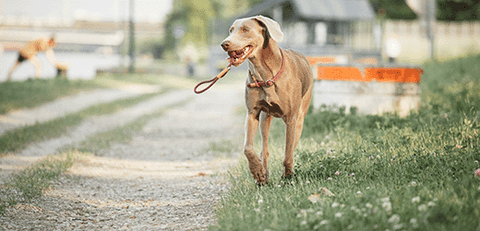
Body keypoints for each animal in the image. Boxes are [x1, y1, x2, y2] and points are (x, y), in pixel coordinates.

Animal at [222, 15, 316, 184]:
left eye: (245, 29)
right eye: (231, 30)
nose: (224, 44)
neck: (264, 75)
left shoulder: (291, 119)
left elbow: (288, 152)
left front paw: (288, 177)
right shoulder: (252, 113)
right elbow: (247, 148)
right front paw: (257, 172)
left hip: (300, 118)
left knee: (291, 147)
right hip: (265, 118)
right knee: (264, 149)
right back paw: (264, 175)